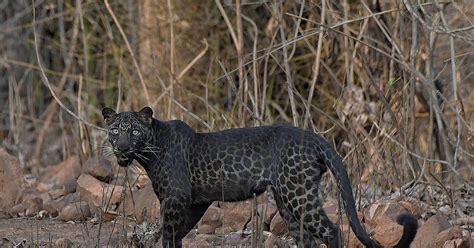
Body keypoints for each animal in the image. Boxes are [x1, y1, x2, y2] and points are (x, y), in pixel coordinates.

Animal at [102, 107, 416, 248]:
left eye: (134, 131)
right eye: (115, 130)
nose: (121, 147)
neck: (149, 152)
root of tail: (317, 139)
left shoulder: (175, 199)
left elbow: (168, 235)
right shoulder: (194, 202)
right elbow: (177, 235)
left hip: (298, 196)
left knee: (332, 231)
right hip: (288, 203)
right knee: (307, 239)